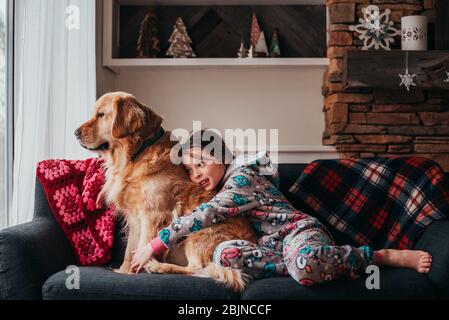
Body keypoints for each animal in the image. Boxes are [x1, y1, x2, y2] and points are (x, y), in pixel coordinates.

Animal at [75, 91, 258, 292]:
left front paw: (135, 272)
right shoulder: (134, 219)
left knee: (198, 269)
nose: (75, 133)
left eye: (101, 115)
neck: (136, 154)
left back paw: (158, 267)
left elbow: (143, 246)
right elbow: (129, 250)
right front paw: (124, 271)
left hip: (197, 235)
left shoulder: (153, 216)